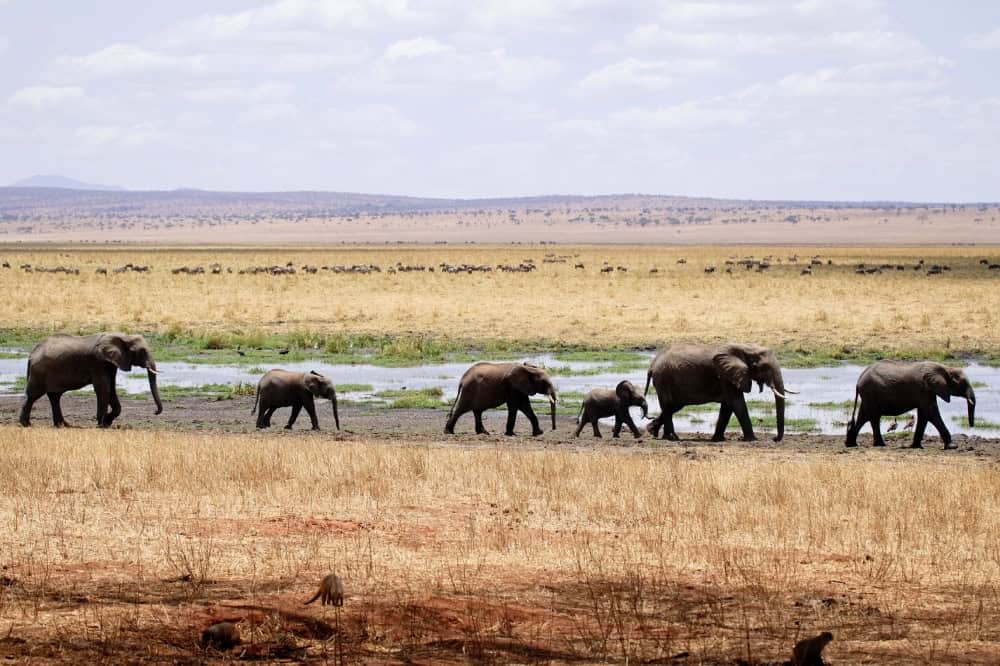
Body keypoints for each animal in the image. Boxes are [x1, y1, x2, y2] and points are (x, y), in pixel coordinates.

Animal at [19, 332, 163, 427]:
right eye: (142, 351)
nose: (155, 412)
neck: (123, 336)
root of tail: (32, 354)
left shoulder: (110, 363)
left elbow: (111, 388)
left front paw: (107, 422)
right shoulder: (98, 363)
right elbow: (104, 388)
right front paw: (101, 424)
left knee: (55, 397)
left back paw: (64, 425)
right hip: (39, 372)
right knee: (33, 395)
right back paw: (26, 424)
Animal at [644, 342, 795, 442]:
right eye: (764, 367)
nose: (774, 439)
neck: (745, 348)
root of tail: (652, 364)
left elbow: (727, 406)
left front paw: (718, 439)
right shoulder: (726, 376)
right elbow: (737, 403)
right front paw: (752, 439)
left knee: (673, 406)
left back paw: (653, 432)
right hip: (664, 379)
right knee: (668, 405)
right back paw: (672, 438)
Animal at [845, 361, 976, 449]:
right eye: (963, 383)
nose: (971, 426)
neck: (946, 368)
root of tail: (859, 380)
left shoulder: (928, 391)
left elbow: (924, 415)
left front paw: (915, 446)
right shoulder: (925, 389)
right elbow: (931, 413)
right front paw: (952, 447)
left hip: (868, 395)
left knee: (864, 416)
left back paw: (852, 444)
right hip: (870, 393)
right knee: (873, 417)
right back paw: (880, 445)